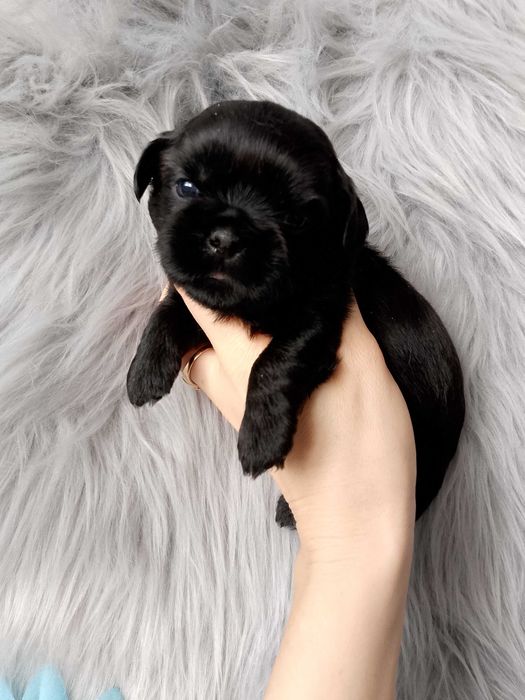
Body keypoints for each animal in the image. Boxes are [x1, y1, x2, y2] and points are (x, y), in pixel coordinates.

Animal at [127, 100, 465, 529]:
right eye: (187, 188)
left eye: (296, 220)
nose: (226, 238)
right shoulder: (200, 300)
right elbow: (173, 309)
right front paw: (144, 371)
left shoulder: (318, 316)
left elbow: (275, 361)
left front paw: (261, 437)